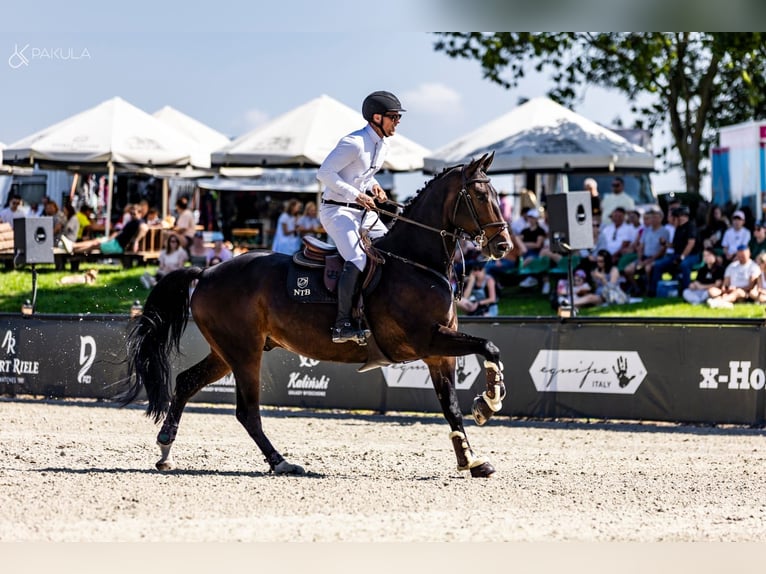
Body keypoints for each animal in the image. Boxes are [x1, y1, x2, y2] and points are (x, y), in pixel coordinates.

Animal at [121, 152, 513, 477]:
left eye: (497, 196)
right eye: (480, 197)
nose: (503, 246)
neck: (416, 262)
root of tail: (206, 272)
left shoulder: (436, 354)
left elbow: (452, 406)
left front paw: (470, 459)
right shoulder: (429, 339)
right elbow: (490, 347)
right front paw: (489, 402)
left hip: (227, 351)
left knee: (186, 383)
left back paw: (166, 449)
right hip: (243, 352)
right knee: (247, 411)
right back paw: (281, 463)